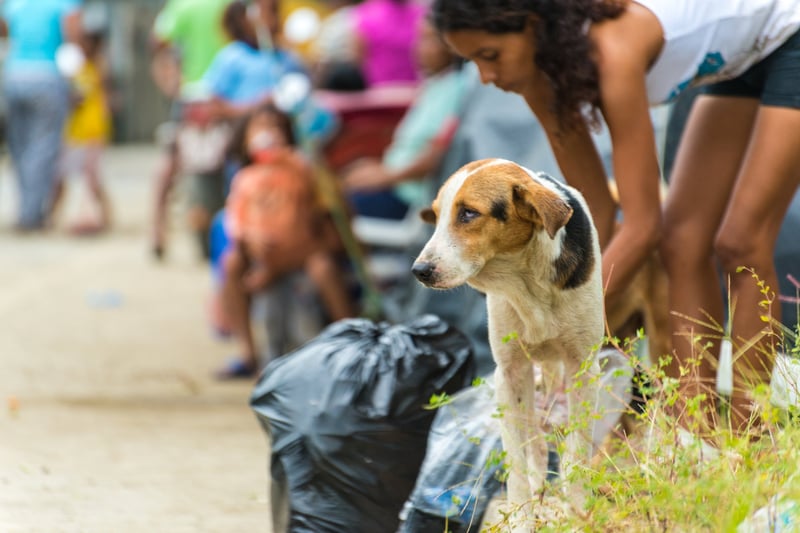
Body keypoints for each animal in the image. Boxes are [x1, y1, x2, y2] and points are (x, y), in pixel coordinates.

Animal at [416, 158, 604, 520]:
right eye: (437, 215)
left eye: (469, 213)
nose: (420, 271)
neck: (524, 278)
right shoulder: (510, 374)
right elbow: (517, 458)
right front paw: (522, 517)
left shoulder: (583, 368)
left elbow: (577, 448)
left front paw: (578, 507)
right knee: (535, 443)